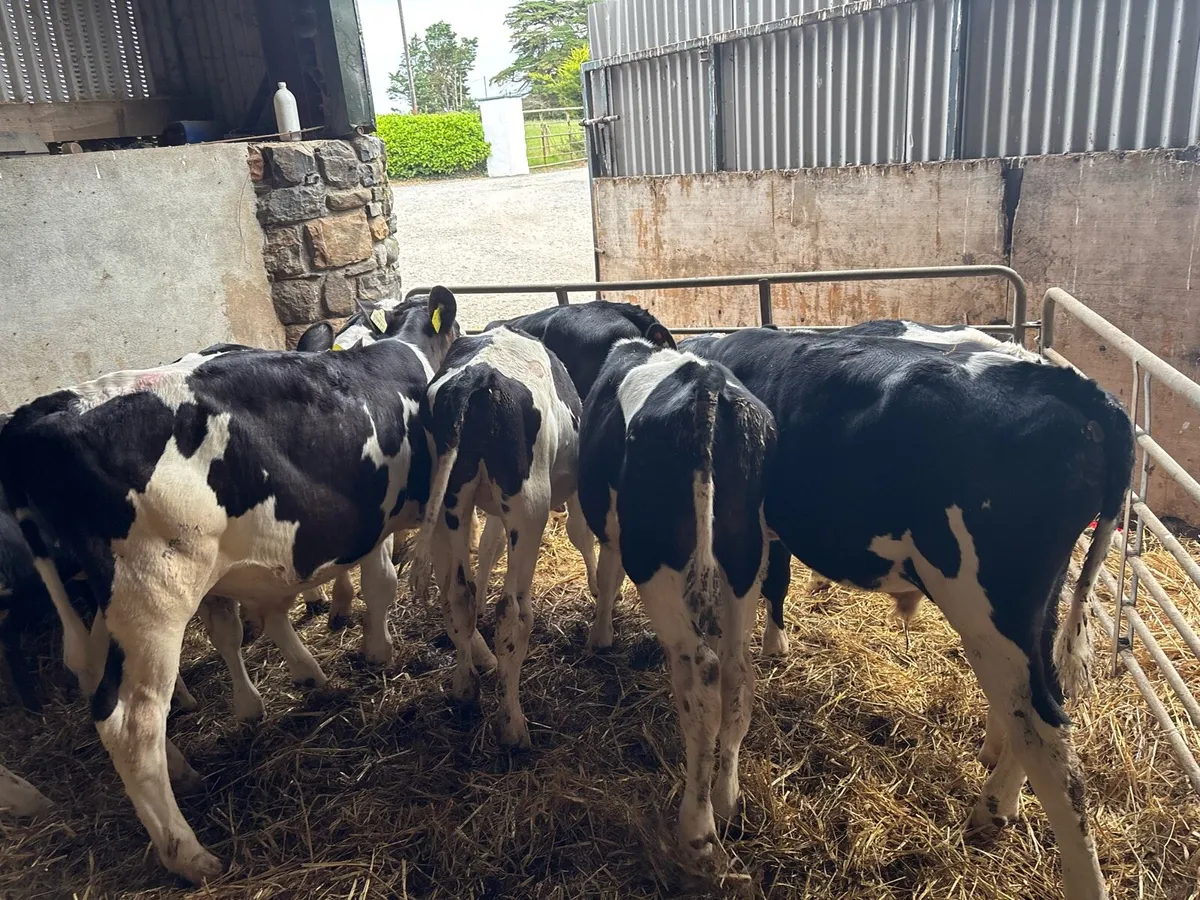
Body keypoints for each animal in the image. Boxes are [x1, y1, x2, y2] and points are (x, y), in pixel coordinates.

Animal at [0, 288, 460, 882]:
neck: (402, 351)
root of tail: (38, 418)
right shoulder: (383, 516)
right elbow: (382, 583)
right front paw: (380, 650)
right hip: (153, 595)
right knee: (129, 721)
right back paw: (189, 854)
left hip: (106, 599)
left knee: (89, 667)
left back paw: (183, 771)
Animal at [409, 325, 587, 749]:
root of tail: (478, 377)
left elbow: (487, 550)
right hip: (528, 504)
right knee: (512, 612)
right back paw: (513, 726)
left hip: (450, 501)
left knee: (458, 596)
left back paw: (465, 689)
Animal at [578, 335, 776, 859]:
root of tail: (708, 389)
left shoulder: (614, 531)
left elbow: (607, 576)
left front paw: (600, 636)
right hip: (746, 555)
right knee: (737, 673)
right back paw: (727, 799)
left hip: (656, 561)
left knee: (701, 678)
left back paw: (697, 827)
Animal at [683, 327, 1132, 900]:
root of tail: (1076, 389)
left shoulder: (736, 537)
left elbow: (734, 668)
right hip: (1035, 607)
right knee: (1038, 704)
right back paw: (998, 798)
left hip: (989, 604)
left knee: (1047, 737)